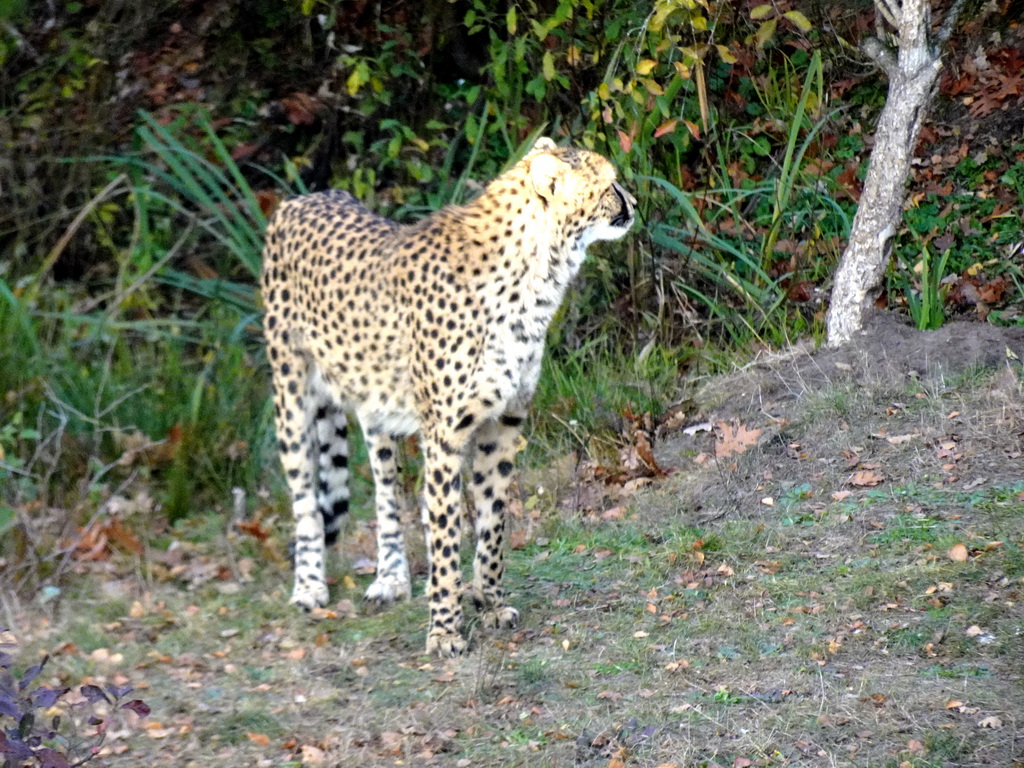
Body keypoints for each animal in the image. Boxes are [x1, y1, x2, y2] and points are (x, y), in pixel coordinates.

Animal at [262, 137, 630, 655]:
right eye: (608, 183)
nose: (633, 202)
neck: (536, 272)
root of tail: (307, 197)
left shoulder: (504, 422)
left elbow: (492, 520)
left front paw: (490, 603)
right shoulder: (445, 434)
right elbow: (444, 531)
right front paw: (444, 630)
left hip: (376, 402)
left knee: (385, 490)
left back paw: (392, 577)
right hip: (291, 391)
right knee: (305, 497)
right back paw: (310, 585)